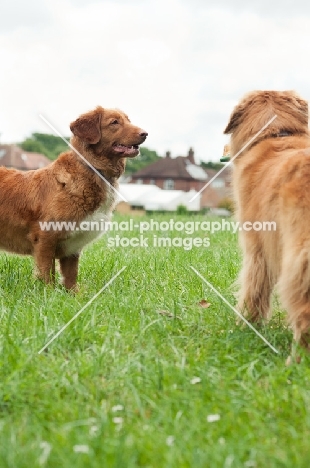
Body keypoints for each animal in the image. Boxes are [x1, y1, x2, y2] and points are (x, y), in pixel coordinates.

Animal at [0, 107, 147, 288]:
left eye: (128, 120)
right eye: (114, 122)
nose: (145, 133)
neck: (93, 169)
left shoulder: (72, 248)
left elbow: (71, 277)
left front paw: (72, 293)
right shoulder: (45, 238)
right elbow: (47, 273)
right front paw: (47, 292)